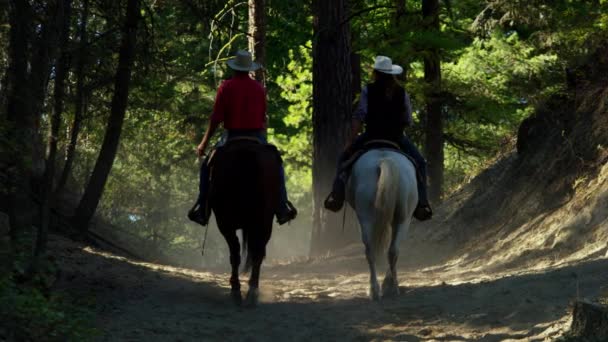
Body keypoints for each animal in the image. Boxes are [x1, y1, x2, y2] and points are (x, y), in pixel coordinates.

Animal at [209, 139, 280, 308]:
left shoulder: (225, 223)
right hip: (263, 221)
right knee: (257, 253)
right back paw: (251, 293)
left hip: (230, 222)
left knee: (239, 253)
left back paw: (240, 292)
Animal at [346, 148, 418, 300]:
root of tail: (384, 160)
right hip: (404, 220)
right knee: (391, 250)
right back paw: (387, 287)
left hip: (368, 218)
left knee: (376, 250)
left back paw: (377, 289)